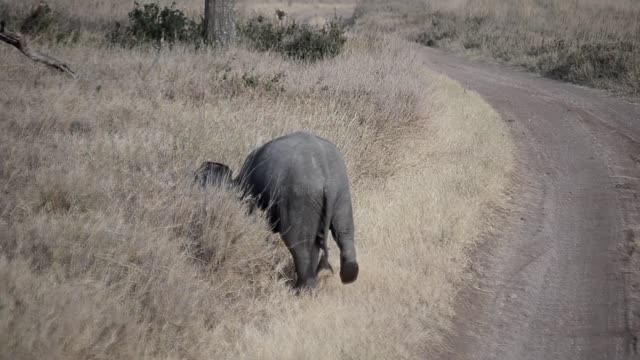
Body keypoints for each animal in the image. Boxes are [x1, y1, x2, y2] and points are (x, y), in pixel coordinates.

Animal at [198, 131, 358, 288]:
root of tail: (326, 177)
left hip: (300, 196)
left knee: (298, 243)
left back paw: (302, 289)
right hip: (342, 192)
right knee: (344, 233)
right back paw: (345, 275)